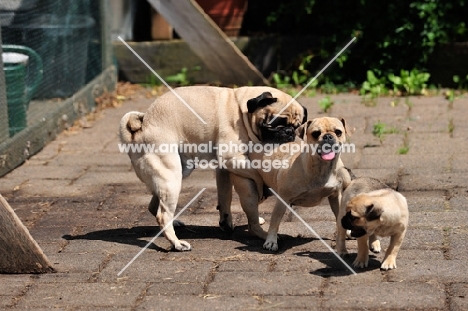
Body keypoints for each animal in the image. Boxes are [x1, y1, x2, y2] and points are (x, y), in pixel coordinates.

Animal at [119, 85, 308, 251]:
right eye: (275, 124)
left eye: (296, 127)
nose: (289, 132)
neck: (242, 113)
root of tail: (140, 129)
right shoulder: (231, 158)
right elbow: (255, 175)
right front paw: (261, 191)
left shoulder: (224, 168)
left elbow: (225, 196)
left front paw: (226, 221)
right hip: (171, 176)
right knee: (162, 214)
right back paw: (177, 243)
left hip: (177, 171)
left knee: (154, 205)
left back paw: (176, 223)